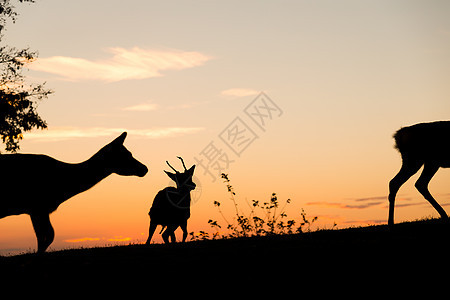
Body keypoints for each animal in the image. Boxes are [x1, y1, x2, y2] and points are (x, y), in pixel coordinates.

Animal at [0, 132, 149, 252]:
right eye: (127, 155)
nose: (145, 168)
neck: (65, 186)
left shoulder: (40, 209)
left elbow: (46, 236)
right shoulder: (38, 206)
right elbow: (46, 236)